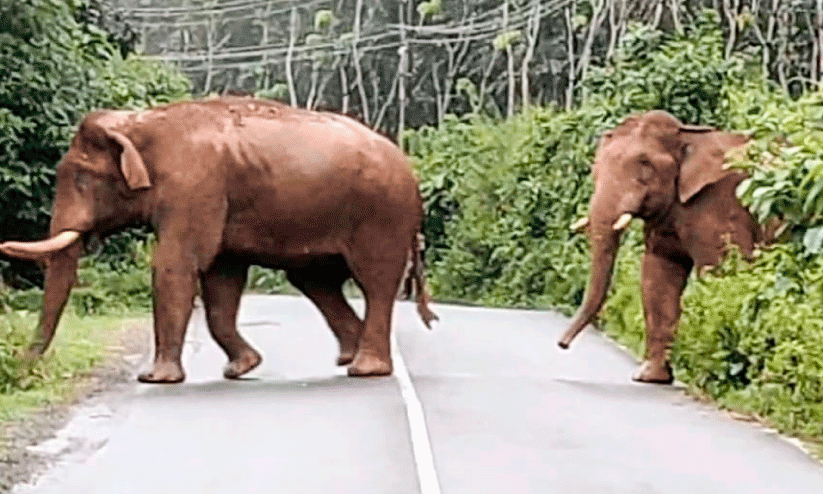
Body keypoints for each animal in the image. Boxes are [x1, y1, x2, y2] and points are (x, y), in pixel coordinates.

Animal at [0, 97, 438, 383]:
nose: (23, 369)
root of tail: (412, 173)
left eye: (81, 178)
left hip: (383, 216)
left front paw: (155, 379)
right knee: (315, 281)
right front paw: (242, 368)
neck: (141, 122)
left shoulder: (193, 186)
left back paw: (365, 368)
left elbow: (174, 266)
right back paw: (348, 356)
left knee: (374, 282)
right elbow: (221, 280)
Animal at [557, 110, 764, 384]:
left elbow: (724, 270)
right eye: (595, 169)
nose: (562, 345)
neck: (689, 135)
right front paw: (649, 377)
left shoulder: (722, 205)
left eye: (645, 165)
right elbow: (659, 275)